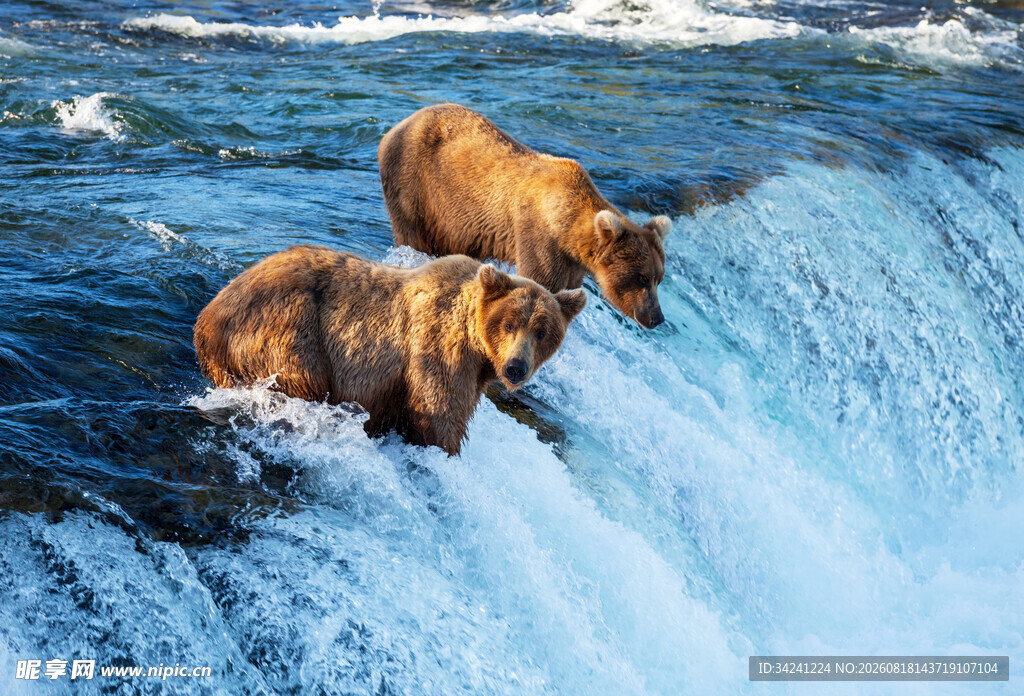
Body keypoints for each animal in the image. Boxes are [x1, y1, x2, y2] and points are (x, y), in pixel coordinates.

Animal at [193, 245, 586, 456]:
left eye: (542, 331)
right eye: (509, 324)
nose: (516, 367)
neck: (478, 348)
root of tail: (207, 317)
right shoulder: (437, 349)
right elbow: (438, 414)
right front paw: (445, 449)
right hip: (287, 328)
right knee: (301, 377)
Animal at [378, 103, 672, 329]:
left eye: (659, 278)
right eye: (641, 277)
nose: (657, 317)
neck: (566, 226)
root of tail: (395, 127)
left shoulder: (572, 262)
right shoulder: (539, 236)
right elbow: (541, 280)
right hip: (416, 184)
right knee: (413, 233)